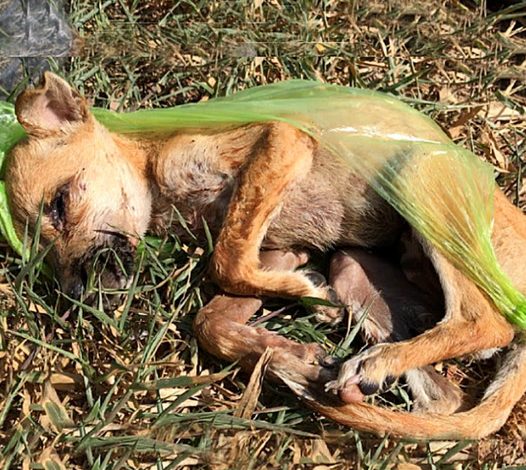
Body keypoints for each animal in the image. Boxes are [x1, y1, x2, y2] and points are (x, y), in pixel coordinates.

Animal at [5, 71, 526, 438]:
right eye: (40, 261)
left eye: (60, 203)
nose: (77, 297)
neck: (157, 176)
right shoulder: (275, 248)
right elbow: (213, 319)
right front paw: (291, 345)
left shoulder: (281, 141)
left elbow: (227, 260)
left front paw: (304, 304)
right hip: (356, 267)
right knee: (446, 396)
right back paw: (350, 374)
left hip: (415, 177)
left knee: (484, 321)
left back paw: (373, 363)